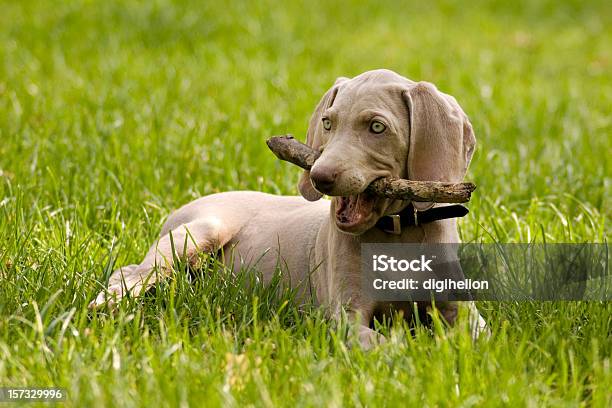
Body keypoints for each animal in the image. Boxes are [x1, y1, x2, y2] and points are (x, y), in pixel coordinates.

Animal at [92, 69, 488, 348]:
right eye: (328, 122)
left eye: (377, 127)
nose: (319, 176)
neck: (397, 232)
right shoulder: (345, 317)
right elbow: (388, 344)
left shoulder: (463, 310)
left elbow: (478, 333)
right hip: (200, 230)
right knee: (132, 272)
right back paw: (106, 305)